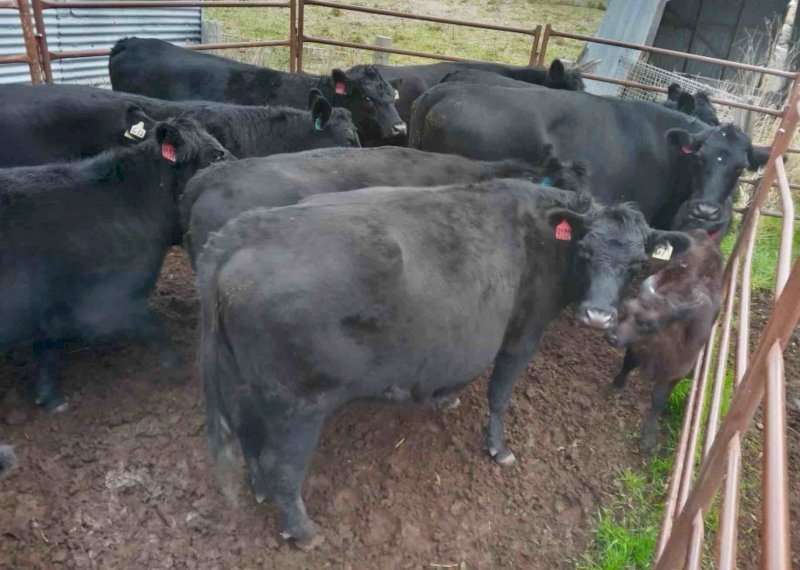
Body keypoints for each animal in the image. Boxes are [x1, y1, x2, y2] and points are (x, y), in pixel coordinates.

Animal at [0, 115, 233, 411]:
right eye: (216, 154)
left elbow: (47, 346)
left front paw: (49, 398)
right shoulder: (106, 299)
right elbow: (152, 323)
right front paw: (178, 368)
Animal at [197, 177, 691, 548]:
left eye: (637, 264)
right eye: (586, 249)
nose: (597, 315)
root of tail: (245, 229)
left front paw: (447, 398)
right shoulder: (522, 335)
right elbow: (500, 394)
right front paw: (499, 448)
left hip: (245, 385)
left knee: (249, 437)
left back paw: (260, 491)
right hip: (300, 404)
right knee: (283, 466)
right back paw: (303, 531)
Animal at [605, 230, 723, 452]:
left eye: (648, 324)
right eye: (626, 312)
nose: (612, 337)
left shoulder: (675, 372)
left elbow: (659, 400)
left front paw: (648, 438)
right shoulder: (635, 348)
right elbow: (627, 364)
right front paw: (617, 384)